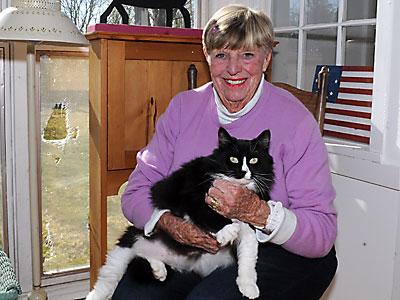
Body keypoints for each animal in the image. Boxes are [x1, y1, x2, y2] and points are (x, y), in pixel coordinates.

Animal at [86, 127, 276, 300]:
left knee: (145, 258)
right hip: (125, 248)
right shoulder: (191, 196)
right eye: (233, 159)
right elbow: (206, 213)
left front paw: (249, 287)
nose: (243, 172)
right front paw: (226, 230)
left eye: (254, 160)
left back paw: (159, 270)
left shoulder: (249, 223)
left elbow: (248, 259)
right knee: (106, 281)